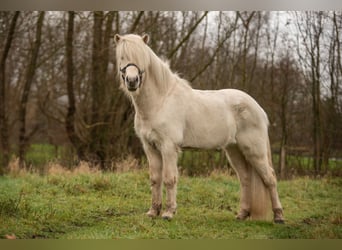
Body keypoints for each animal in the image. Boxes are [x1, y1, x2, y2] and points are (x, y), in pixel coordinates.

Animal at [113, 33, 284, 225]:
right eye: (122, 57)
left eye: (142, 57)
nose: (132, 81)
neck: (161, 100)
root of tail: (258, 108)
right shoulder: (150, 147)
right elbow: (155, 179)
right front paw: (153, 211)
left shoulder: (168, 147)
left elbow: (169, 179)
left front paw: (169, 213)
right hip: (235, 151)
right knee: (246, 179)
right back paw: (242, 214)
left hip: (255, 151)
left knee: (270, 179)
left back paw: (279, 216)